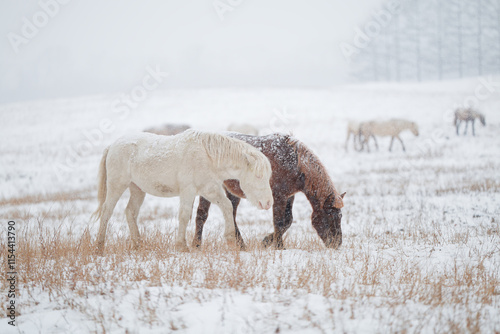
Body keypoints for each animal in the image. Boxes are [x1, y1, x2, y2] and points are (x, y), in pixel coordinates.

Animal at [93, 130, 274, 253]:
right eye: (258, 176)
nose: (267, 203)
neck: (207, 156)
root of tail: (112, 146)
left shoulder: (209, 189)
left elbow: (227, 206)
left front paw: (230, 240)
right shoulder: (188, 190)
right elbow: (184, 215)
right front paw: (182, 246)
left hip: (137, 189)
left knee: (130, 212)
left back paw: (138, 244)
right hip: (117, 185)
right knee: (107, 211)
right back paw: (99, 246)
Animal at [191, 133, 344, 250]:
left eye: (340, 216)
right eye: (330, 215)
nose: (337, 244)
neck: (294, 163)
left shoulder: (289, 196)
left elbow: (288, 221)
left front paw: (266, 242)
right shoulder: (279, 197)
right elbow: (279, 222)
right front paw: (279, 247)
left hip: (232, 193)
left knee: (231, 215)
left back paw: (241, 245)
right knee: (201, 215)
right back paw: (196, 245)